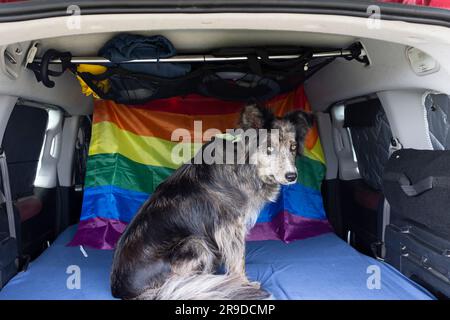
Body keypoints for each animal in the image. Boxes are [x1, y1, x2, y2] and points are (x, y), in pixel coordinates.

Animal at [110, 104, 312, 298]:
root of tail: (121, 290)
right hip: (195, 244)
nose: (292, 176)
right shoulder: (230, 226)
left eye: (293, 147)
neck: (243, 165)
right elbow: (238, 259)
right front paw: (243, 284)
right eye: (269, 148)